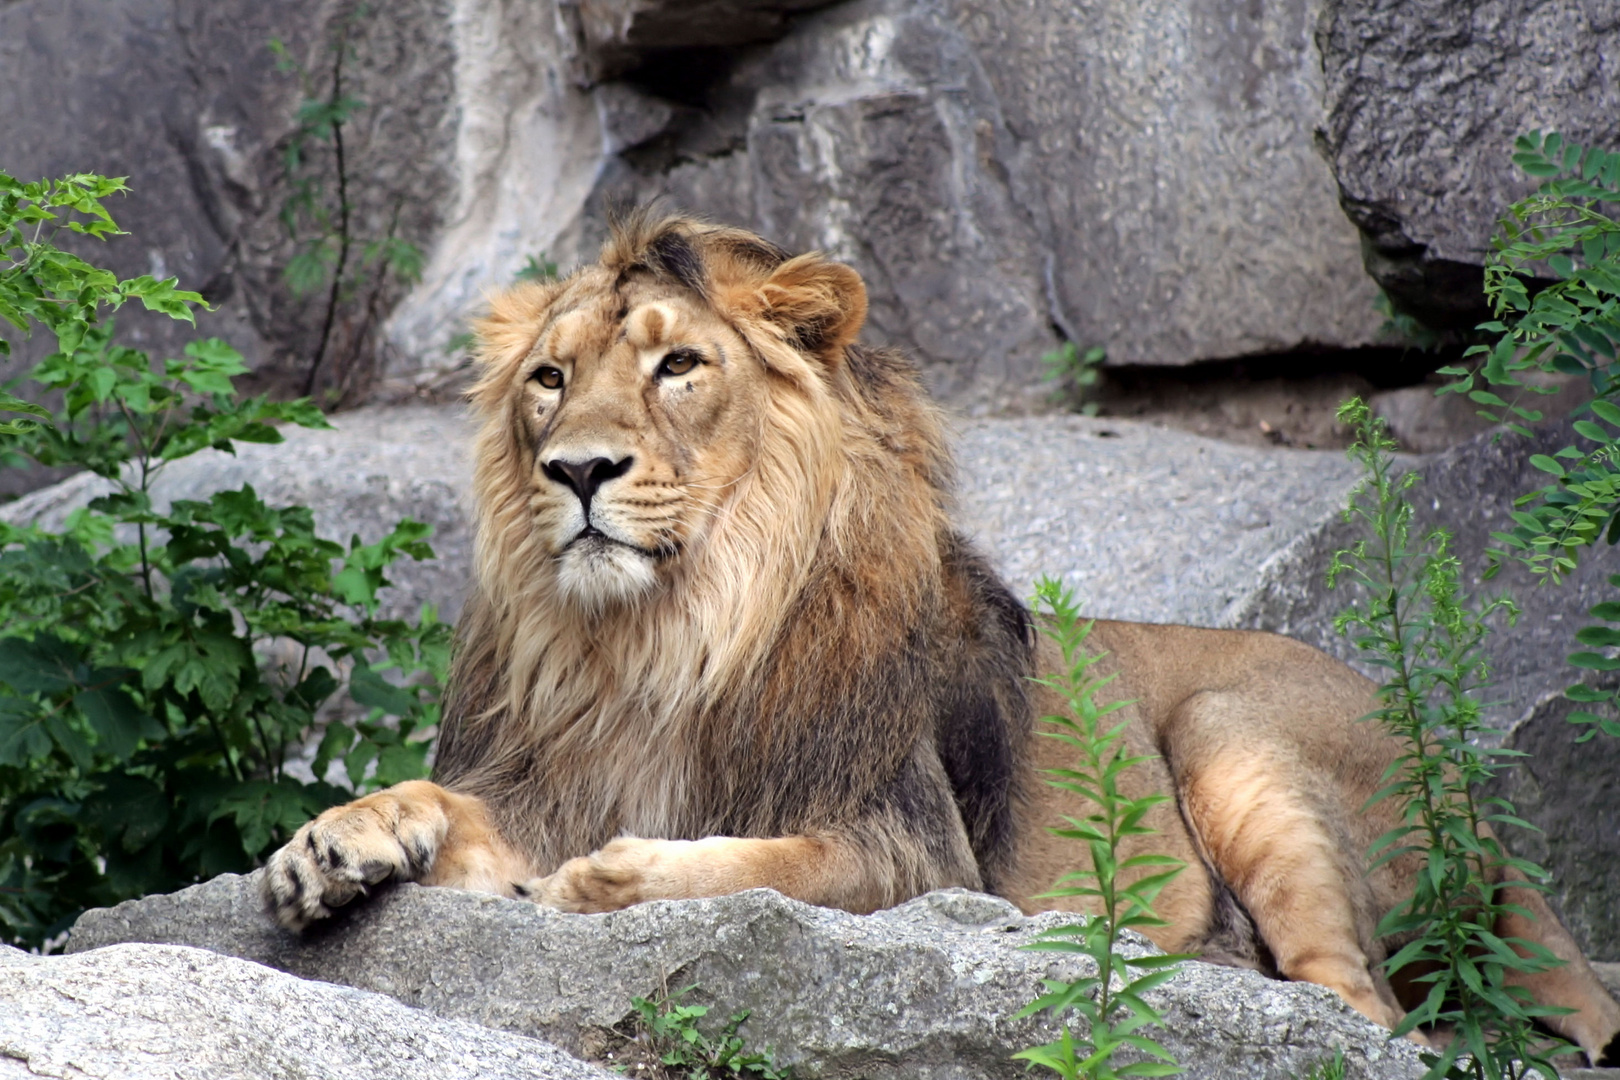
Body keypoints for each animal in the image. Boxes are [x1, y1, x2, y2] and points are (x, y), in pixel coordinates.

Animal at [265, 208, 1620, 1062]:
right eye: (550, 379)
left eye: (679, 366)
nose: (577, 471)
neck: (667, 638)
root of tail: (1479, 805)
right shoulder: (558, 776)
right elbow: (451, 805)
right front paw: (335, 844)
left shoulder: (914, 849)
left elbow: (764, 865)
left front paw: (608, 881)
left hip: (1239, 732)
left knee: (1370, 1017)